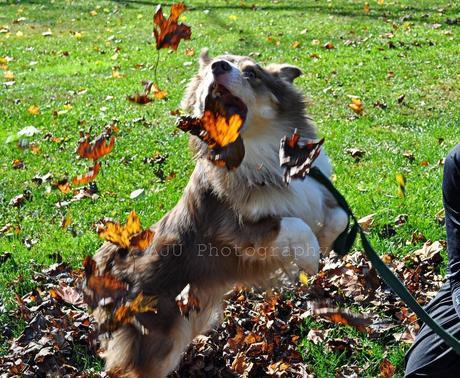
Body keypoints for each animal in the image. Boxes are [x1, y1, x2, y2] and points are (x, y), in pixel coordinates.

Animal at [91, 48, 346, 376]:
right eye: (214, 67)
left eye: (251, 73)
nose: (218, 66)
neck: (263, 156)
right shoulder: (237, 233)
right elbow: (294, 226)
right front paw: (311, 260)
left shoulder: (318, 193)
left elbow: (338, 217)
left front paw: (326, 244)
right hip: (162, 340)